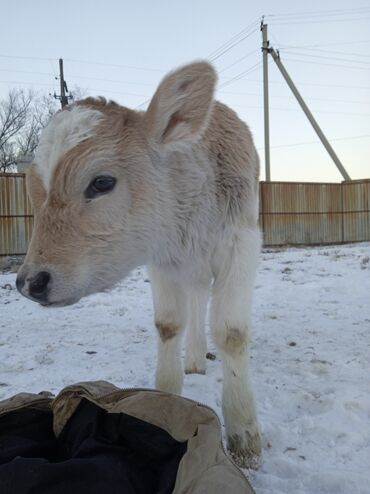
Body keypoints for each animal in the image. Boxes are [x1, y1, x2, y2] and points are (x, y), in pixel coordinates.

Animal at [16, 61, 260, 466]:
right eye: (35, 191)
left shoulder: (240, 244)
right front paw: (167, 404)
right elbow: (168, 325)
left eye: (102, 182)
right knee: (196, 300)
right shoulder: (161, 260)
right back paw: (194, 358)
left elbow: (231, 333)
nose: (30, 281)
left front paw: (244, 433)